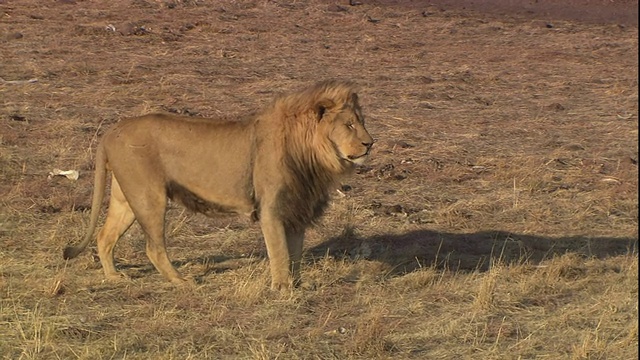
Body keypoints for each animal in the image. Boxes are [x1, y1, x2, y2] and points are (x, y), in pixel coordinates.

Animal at [62, 79, 372, 290]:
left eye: (361, 121)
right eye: (349, 125)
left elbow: (294, 253)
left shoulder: (296, 210)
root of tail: (111, 130)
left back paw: (114, 276)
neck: (313, 157)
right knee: (153, 247)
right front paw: (282, 288)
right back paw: (180, 280)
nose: (370, 143)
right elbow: (280, 252)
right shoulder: (271, 210)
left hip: (126, 198)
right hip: (150, 197)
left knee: (105, 236)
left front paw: (297, 284)